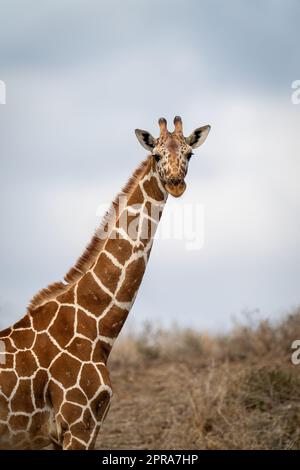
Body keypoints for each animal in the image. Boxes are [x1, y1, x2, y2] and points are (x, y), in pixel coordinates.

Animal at [0, 115, 211, 450]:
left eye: (190, 154)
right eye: (156, 155)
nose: (176, 184)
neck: (98, 329)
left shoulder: (78, 429)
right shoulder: (78, 422)